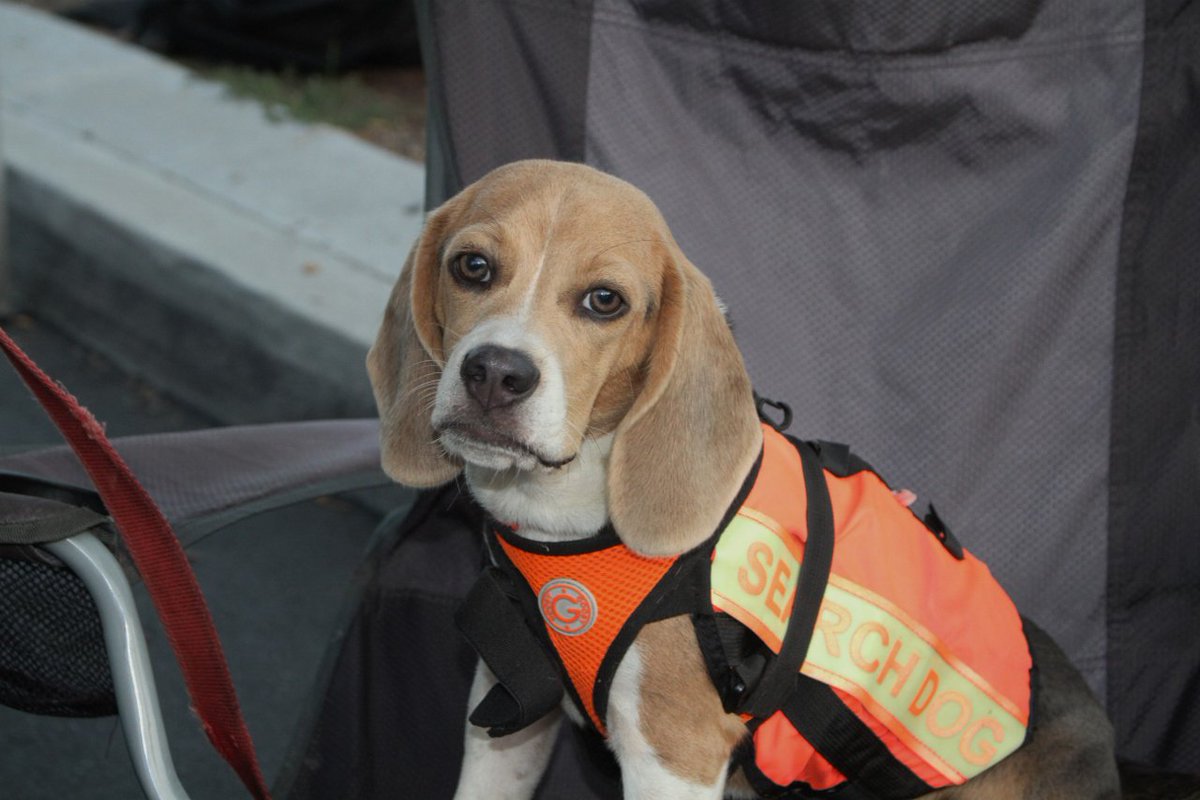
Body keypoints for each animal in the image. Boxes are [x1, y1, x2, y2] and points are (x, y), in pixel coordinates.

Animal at [368, 160, 1121, 799]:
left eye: (604, 300)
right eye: (472, 266)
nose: (496, 372)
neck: (569, 526)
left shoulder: (673, 757)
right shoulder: (506, 721)